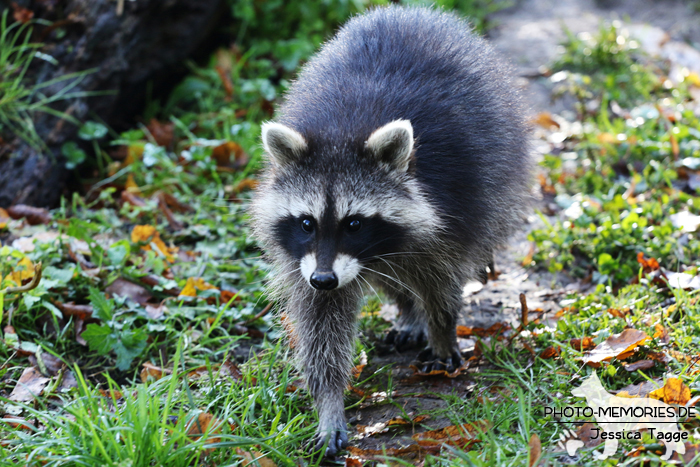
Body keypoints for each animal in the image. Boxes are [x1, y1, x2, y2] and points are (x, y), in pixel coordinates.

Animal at [252, 4, 532, 458]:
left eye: (354, 223)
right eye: (307, 222)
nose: (324, 278)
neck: (341, 133)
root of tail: (411, 12)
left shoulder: (452, 206)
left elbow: (441, 280)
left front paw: (442, 329)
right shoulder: (305, 260)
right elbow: (319, 324)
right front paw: (329, 401)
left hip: (498, 163)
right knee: (391, 277)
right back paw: (407, 310)